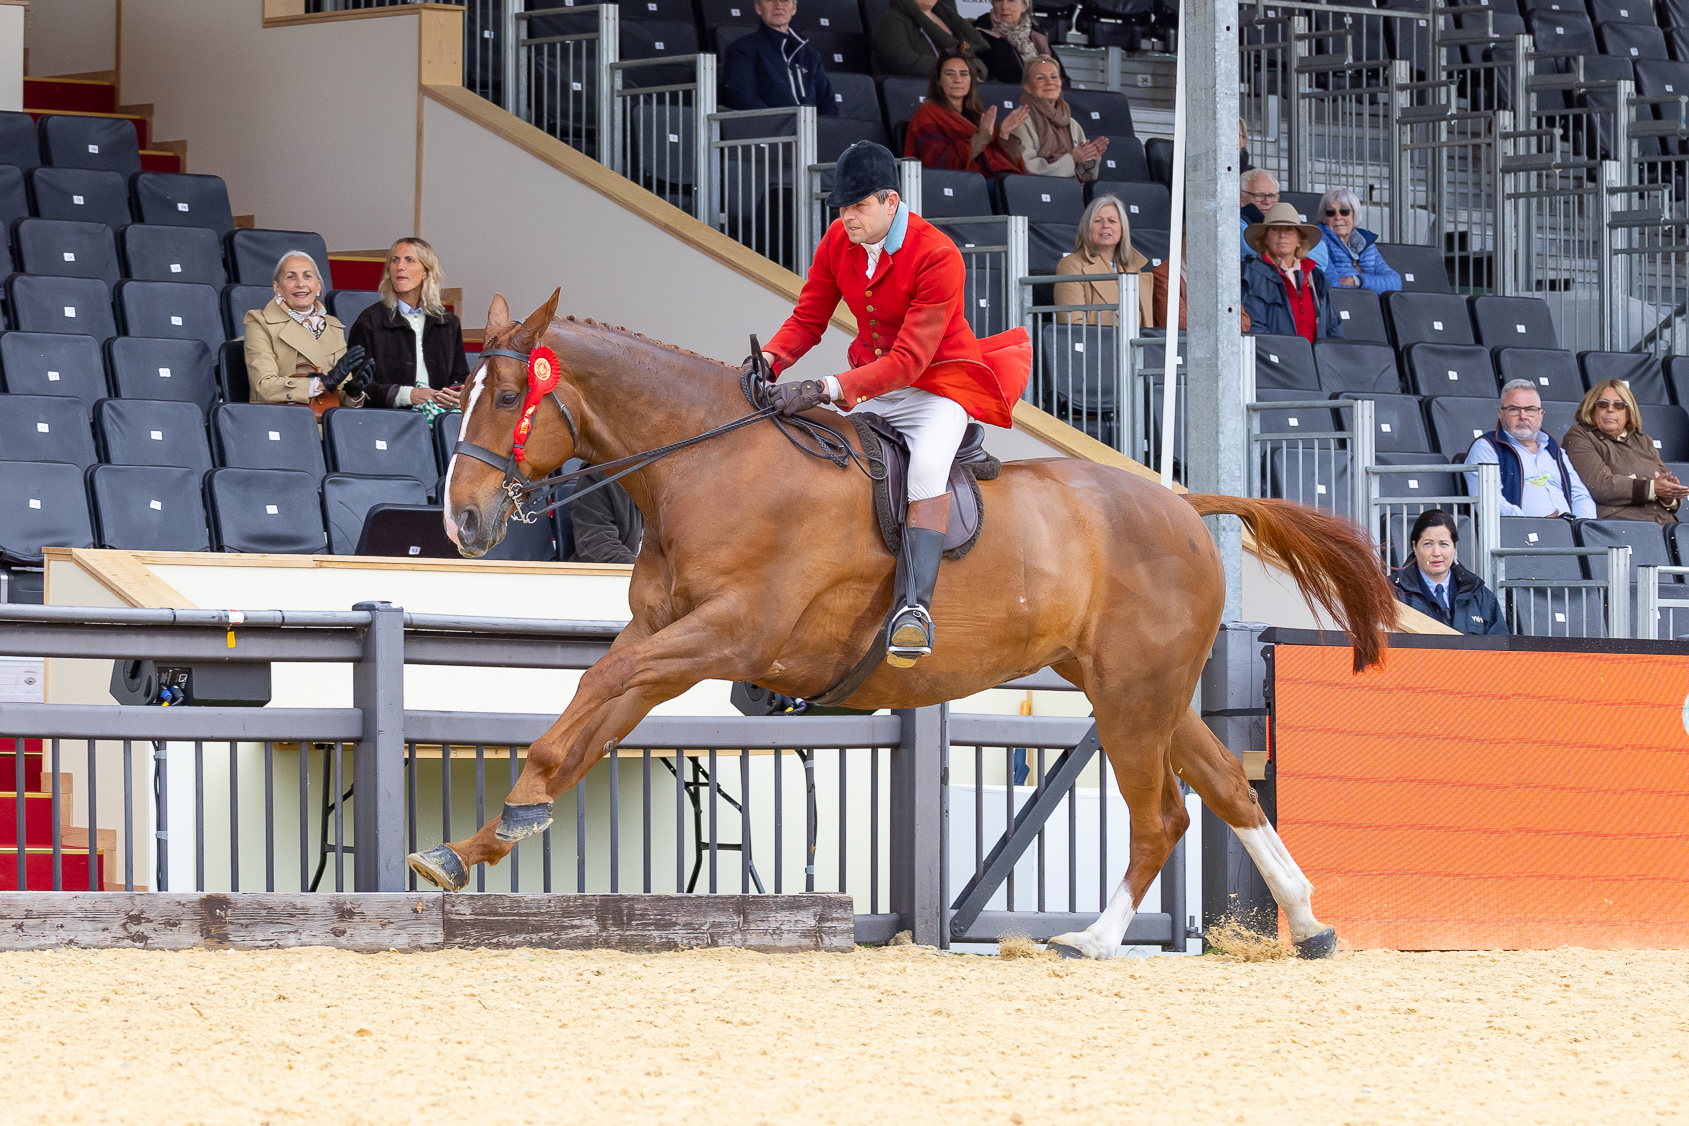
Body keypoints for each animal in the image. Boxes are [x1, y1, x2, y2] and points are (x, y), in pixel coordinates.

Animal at [411, 290, 1400, 959]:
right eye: (457, 392)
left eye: (507, 399)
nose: (461, 524)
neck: (706, 465)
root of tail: (1183, 503)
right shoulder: (663, 637)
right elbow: (591, 716)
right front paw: (474, 845)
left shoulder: (730, 632)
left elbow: (598, 687)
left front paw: (514, 815)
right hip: (1138, 688)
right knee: (1227, 790)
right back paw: (1308, 924)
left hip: (1132, 695)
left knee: (1162, 816)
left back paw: (1091, 938)